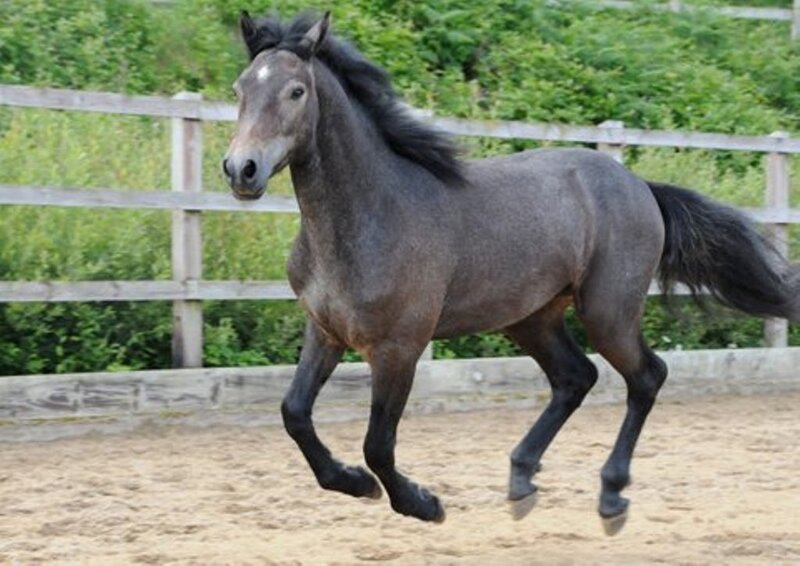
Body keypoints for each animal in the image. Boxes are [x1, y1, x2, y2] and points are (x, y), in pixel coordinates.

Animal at [222, 10, 799, 534]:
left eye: (296, 91)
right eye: (240, 88)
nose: (241, 170)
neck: (370, 214)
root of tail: (639, 185)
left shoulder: (399, 347)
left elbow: (378, 444)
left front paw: (422, 503)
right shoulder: (325, 331)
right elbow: (295, 413)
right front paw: (353, 483)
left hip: (607, 312)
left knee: (646, 376)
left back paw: (611, 496)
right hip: (532, 316)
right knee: (575, 377)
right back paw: (522, 479)